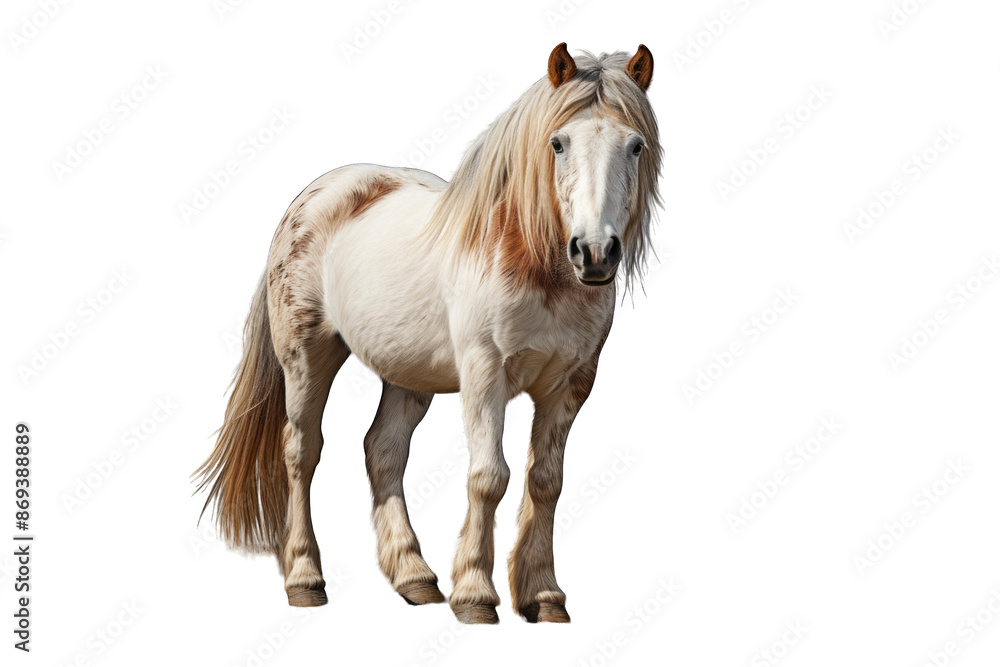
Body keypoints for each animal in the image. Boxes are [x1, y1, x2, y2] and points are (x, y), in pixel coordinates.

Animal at [195, 43, 661, 625]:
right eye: (558, 143)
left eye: (635, 145)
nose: (595, 252)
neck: (534, 264)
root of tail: (311, 197)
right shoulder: (485, 374)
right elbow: (490, 477)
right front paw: (476, 595)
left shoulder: (571, 385)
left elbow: (545, 482)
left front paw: (543, 595)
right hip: (306, 359)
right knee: (302, 452)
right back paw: (305, 577)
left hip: (407, 375)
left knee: (383, 450)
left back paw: (414, 576)